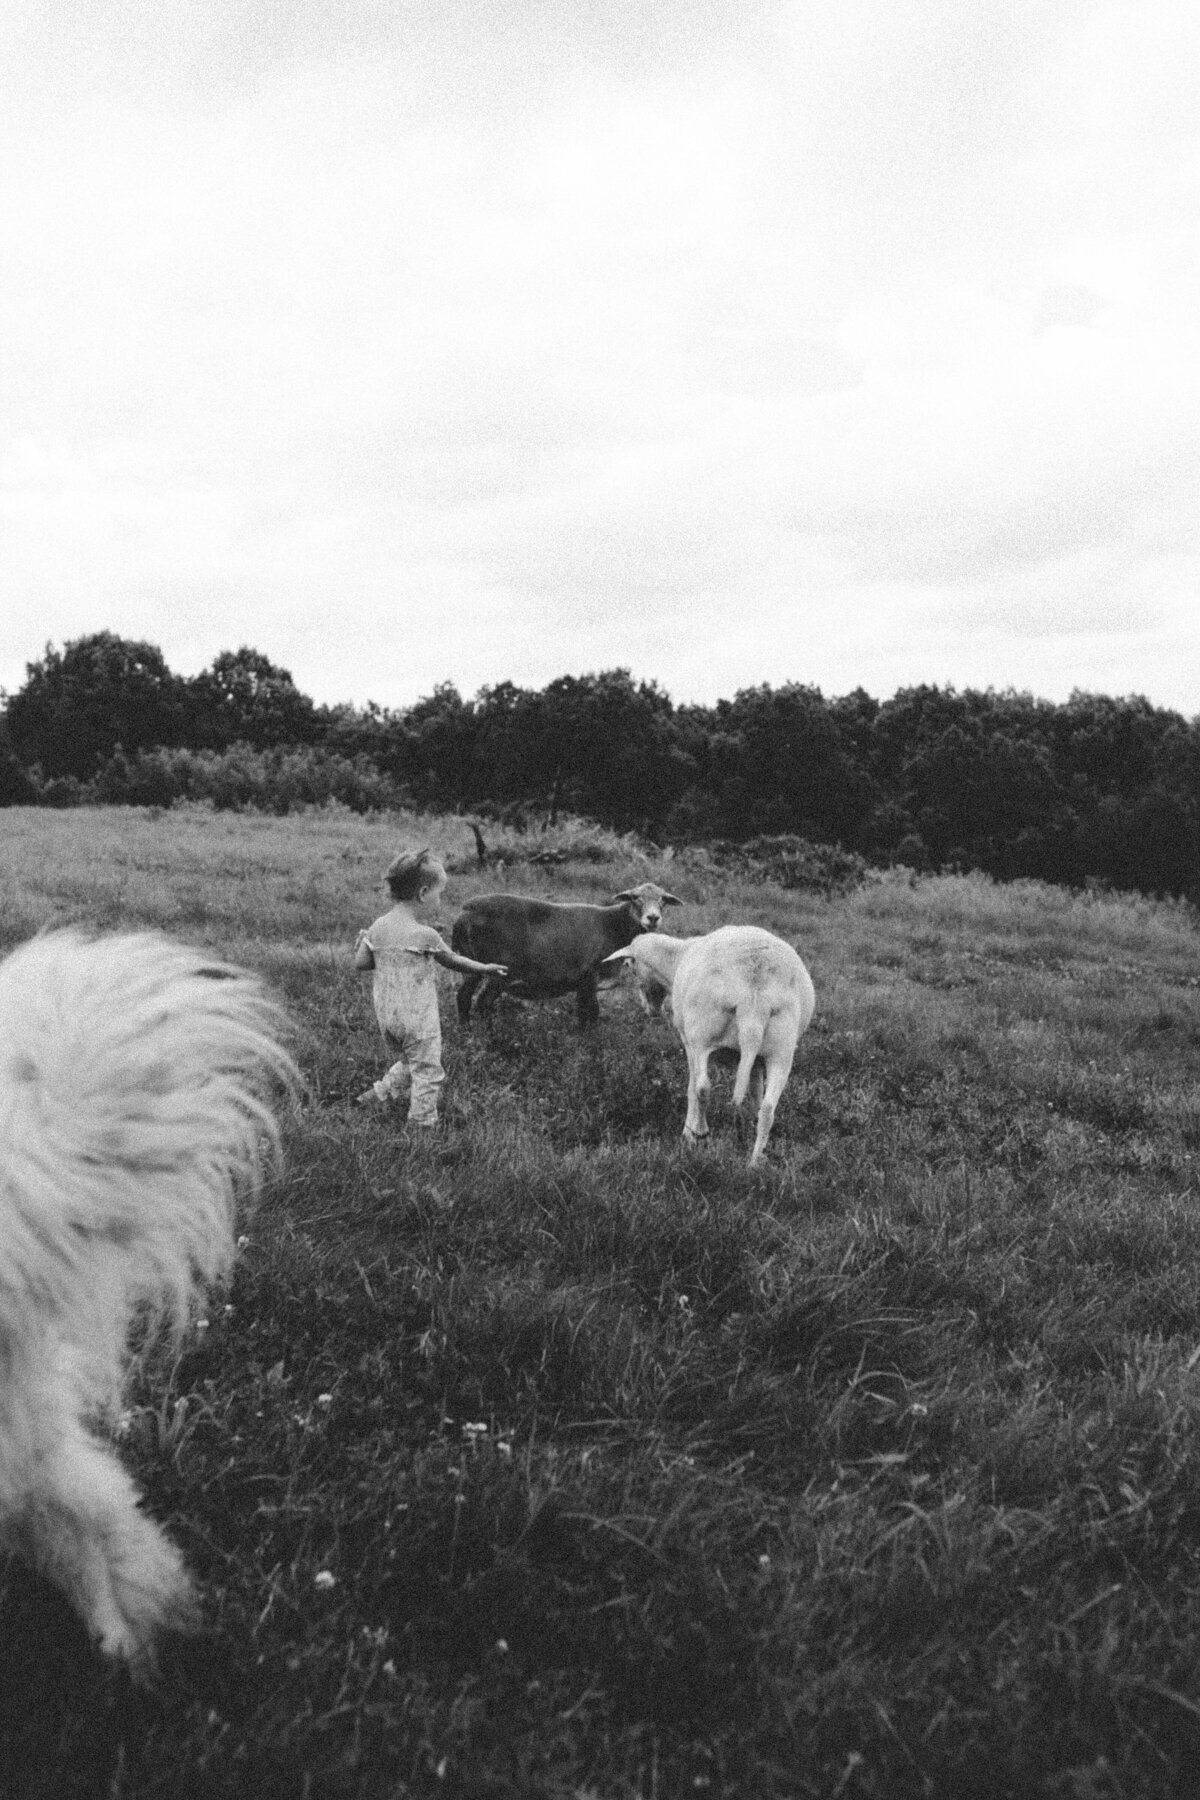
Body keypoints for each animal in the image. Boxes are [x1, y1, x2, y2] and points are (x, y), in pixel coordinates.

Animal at [611, 928, 816, 1166]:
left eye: (629, 966)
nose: (650, 1010)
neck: (676, 958)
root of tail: (754, 997)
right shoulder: (756, 1060)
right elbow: (755, 1089)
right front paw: (751, 1119)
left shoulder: (688, 1041)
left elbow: (691, 1088)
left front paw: (688, 1132)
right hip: (781, 1051)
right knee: (768, 1108)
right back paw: (755, 1161)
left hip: (702, 1037)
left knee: (702, 1088)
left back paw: (701, 1134)